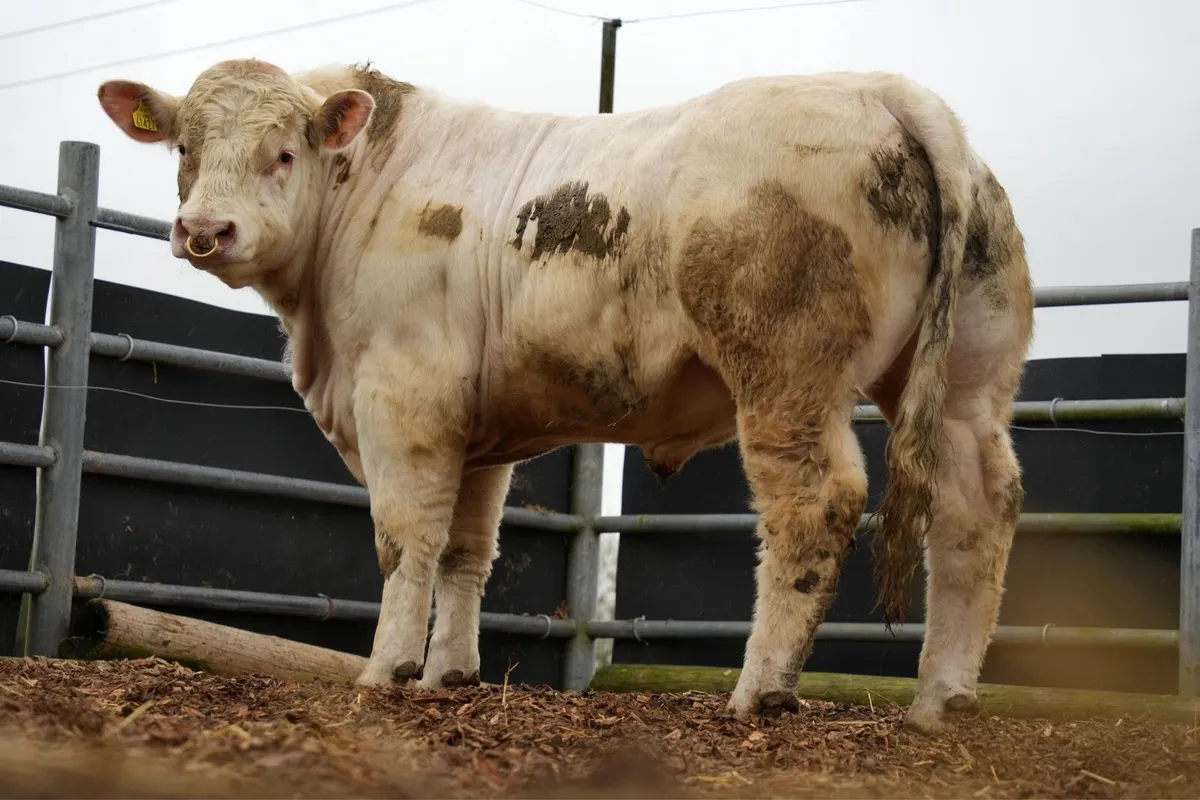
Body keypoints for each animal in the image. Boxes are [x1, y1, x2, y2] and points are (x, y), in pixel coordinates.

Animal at [96, 57, 1034, 734]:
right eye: (184, 148)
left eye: (283, 153)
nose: (205, 231)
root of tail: (890, 91)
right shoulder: (475, 431)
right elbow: (467, 550)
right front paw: (449, 675)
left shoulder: (404, 399)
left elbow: (406, 542)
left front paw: (386, 671)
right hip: (969, 383)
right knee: (977, 507)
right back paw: (941, 700)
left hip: (787, 372)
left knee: (817, 504)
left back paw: (760, 691)